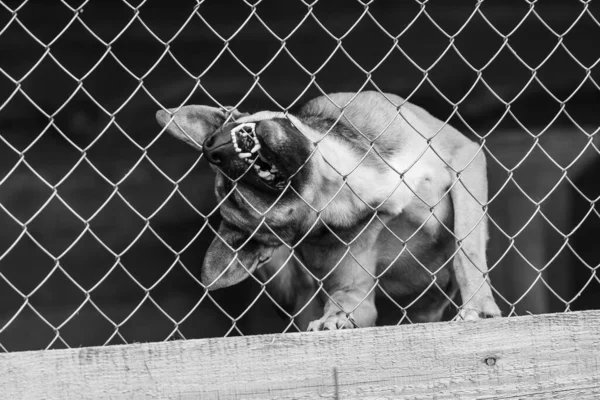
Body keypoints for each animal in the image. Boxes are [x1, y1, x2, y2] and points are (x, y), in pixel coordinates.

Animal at [155, 91, 502, 332]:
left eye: (221, 133)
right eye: (241, 199)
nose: (212, 148)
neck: (343, 187)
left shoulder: (464, 159)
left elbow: (467, 249)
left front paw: (478, 306)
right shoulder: (353, 290)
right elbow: (344, 304)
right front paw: (333, 319)